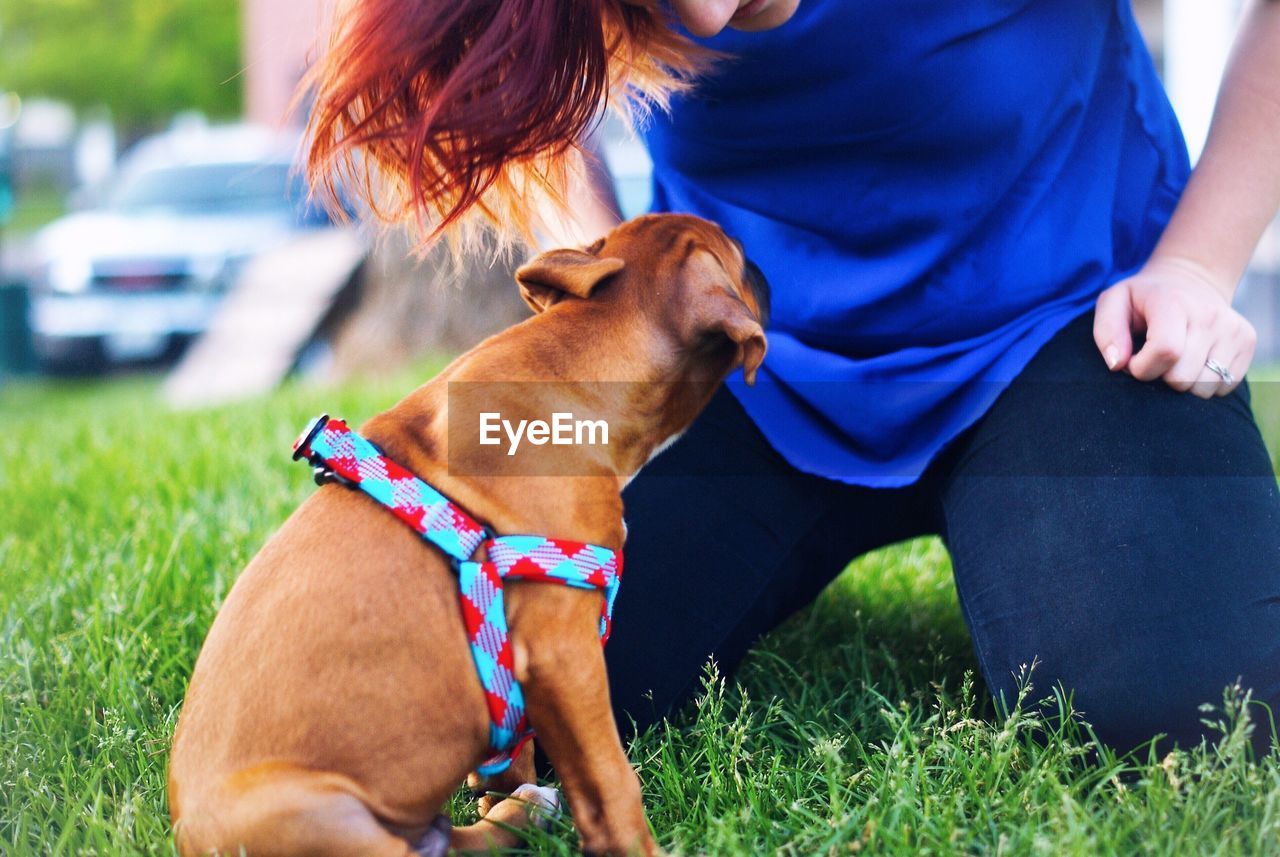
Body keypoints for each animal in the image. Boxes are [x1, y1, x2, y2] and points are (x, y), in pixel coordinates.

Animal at [170, 216, 768, 857]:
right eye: (741, 258)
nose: (765, 266)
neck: (575, 361)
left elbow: (520, 752)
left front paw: (505, 785)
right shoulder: (562, 649)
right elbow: (610, 781)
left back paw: (525, 812)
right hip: (320, 813)